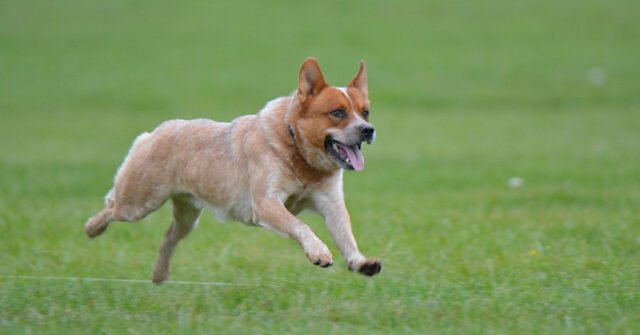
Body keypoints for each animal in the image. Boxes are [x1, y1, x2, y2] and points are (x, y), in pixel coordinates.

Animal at [87, 57, 382, 284]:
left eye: (365, 112)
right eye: (338, 112)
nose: (368, 130)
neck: (299, 153)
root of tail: (157, 131)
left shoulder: (331, 203)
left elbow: (345, 234)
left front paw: (360, 262)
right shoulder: (266, 203)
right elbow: (301, 225)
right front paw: (319, 252)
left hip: (187, 216)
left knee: (170, 236)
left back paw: (159, 275)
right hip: (138, 202)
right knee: (111, 207)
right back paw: (92, 229)